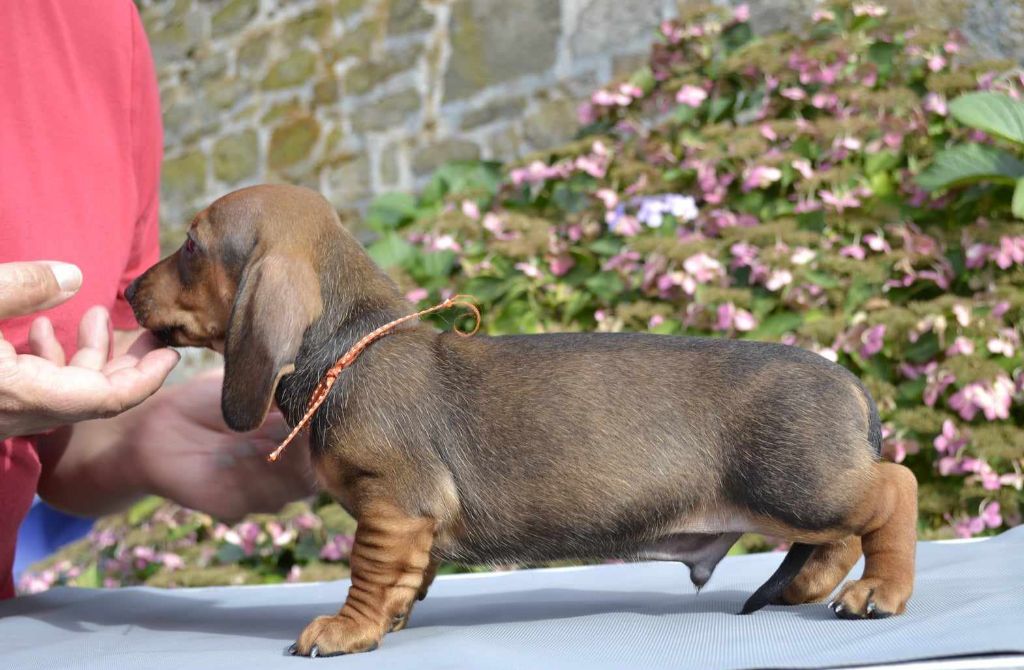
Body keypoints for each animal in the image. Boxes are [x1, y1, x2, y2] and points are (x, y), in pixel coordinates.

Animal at [126, 184, 917, 657]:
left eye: (191, 245)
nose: (126, 288)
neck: (351, 348)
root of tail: (847, 381)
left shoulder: (392, 503)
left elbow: (368, 572)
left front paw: (347, 629)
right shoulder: (410, 523)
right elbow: (404, 576)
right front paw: (388, 619)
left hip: (794, 484)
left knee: (894, 490)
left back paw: (879, 591)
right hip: (797, 496)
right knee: (837, 536)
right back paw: (809, 587)